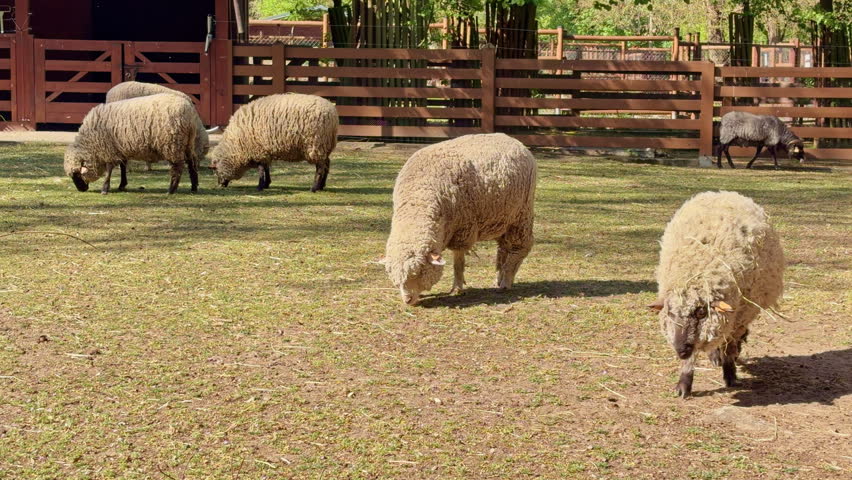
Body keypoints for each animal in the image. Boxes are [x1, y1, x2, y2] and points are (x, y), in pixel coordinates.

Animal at [64, 93, 203, 194]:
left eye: (76, 174)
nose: (81, 190)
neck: (91, 144)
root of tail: (190, 114)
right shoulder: (120, 148)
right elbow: (123, 167)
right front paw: (122, 185)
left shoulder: (108, 149)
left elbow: (109, 169)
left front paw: (105, 188)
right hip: (188, 143)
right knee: (192, 162)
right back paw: (194, 187)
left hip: (172, 144)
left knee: (177, 166)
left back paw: (171, 190)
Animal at [210, 93, 338, 192]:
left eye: (215, 170)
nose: (220, 185)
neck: (236, 145)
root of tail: (333, 114)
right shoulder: (264, 151)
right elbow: (266, 168)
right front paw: (267, 183)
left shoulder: (258, 150)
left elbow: (261, 170)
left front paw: (260, 186)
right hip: (324, 145)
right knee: (327, 164)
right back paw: (321, 186)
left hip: (315, 144)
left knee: (320, 167)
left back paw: (314, 188)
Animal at [384, 133, 537, 306]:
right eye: (394, 277)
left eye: (419, 271)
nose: (408, 300)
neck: (419, 199)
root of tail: (513, 140)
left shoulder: (463, 228)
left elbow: (458, 262)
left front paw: (457, 288)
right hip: (502, 218)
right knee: (504, 248)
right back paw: (499, 278)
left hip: (521, 214)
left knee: (520, 247)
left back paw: (506, 281)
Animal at [650, 191, 784, 398]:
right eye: (670, 312)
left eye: (700, 312)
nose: (680, 350)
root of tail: (724, 193)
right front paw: (683, 384)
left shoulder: (738, 316)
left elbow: (729, 346)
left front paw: (730, 375)